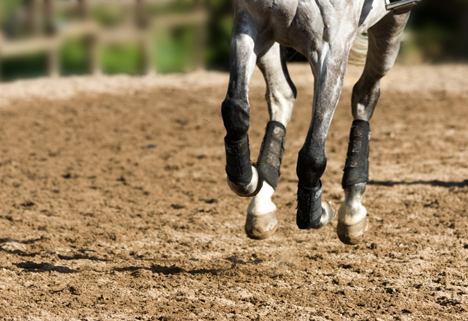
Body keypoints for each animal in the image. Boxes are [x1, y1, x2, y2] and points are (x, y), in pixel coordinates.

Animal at [221, 0, 418, 244]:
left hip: (394, 24)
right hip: (271, 39)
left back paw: (352, 211)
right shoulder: (249, 25)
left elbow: (312, 156)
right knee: (283, 94)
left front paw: (318, 213)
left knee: (365, 94)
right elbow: (235, 112)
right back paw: (261, 205)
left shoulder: (331, 52)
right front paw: (251, 178)